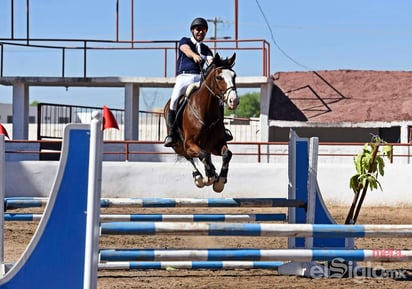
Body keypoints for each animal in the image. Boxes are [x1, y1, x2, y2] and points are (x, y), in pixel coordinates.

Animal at [164, 53, 240, 192]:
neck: (205, 111)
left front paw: (220, 181)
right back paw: (199, 177)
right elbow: (202, 155)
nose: (234, 101)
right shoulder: (189, 144)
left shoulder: (216, 144)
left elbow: (227, 154)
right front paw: (209, 177)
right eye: (219, 77)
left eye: (234, 76)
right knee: (189, 157)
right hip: (178, 146)